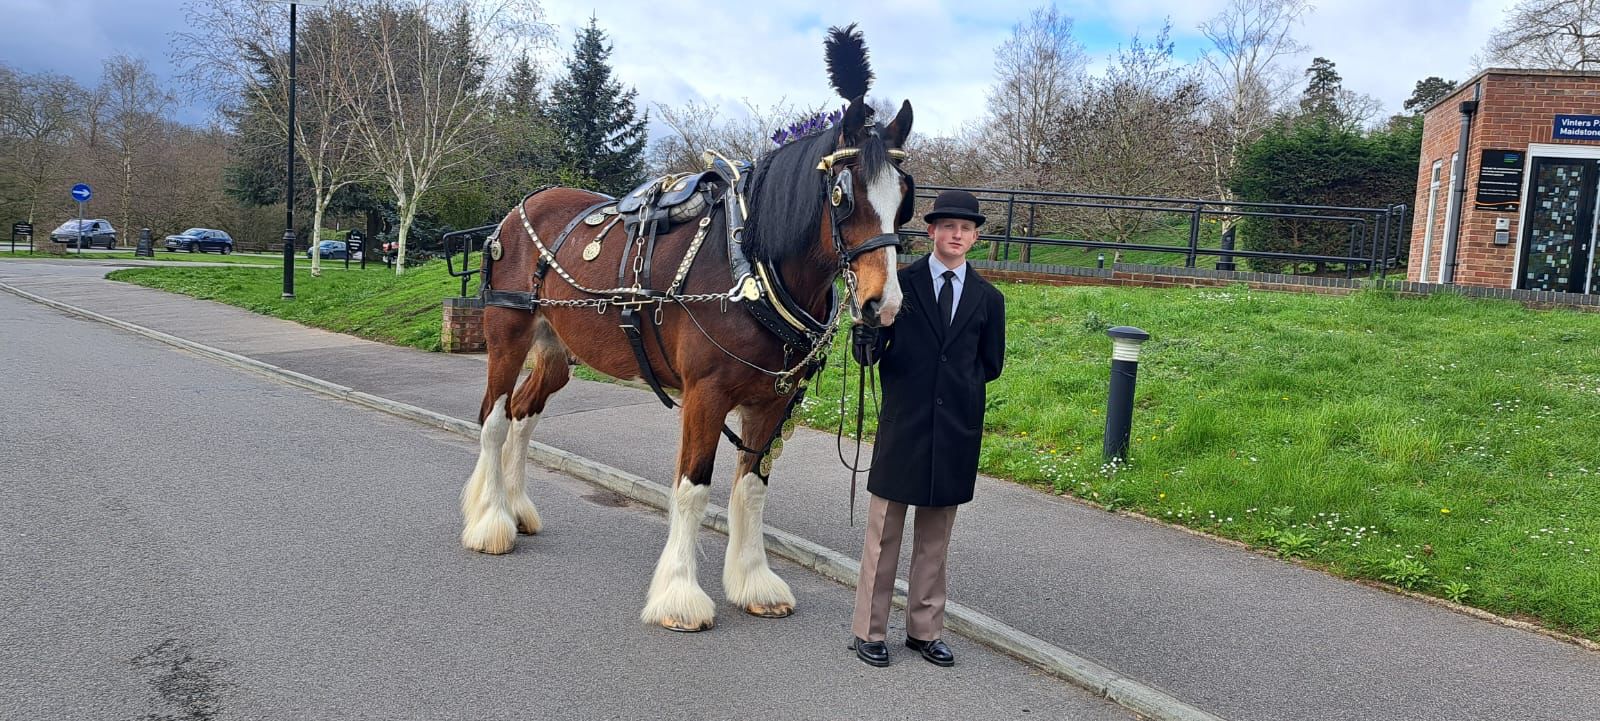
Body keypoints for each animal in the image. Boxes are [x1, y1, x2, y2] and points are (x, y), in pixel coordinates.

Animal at [460, 25, 915, 632]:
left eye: (905, 201)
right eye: (842, 196)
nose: (882, 305)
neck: (750, 262)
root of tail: (519, 209)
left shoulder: (772, 402)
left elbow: (751, 489)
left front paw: (753, 582)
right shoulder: (706, 395)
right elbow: (694, 489)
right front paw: (679, 594)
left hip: (557, 352)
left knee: (521, 415)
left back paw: (516, 510)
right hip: (506, 335)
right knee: (492, 419)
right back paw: (490, 522)